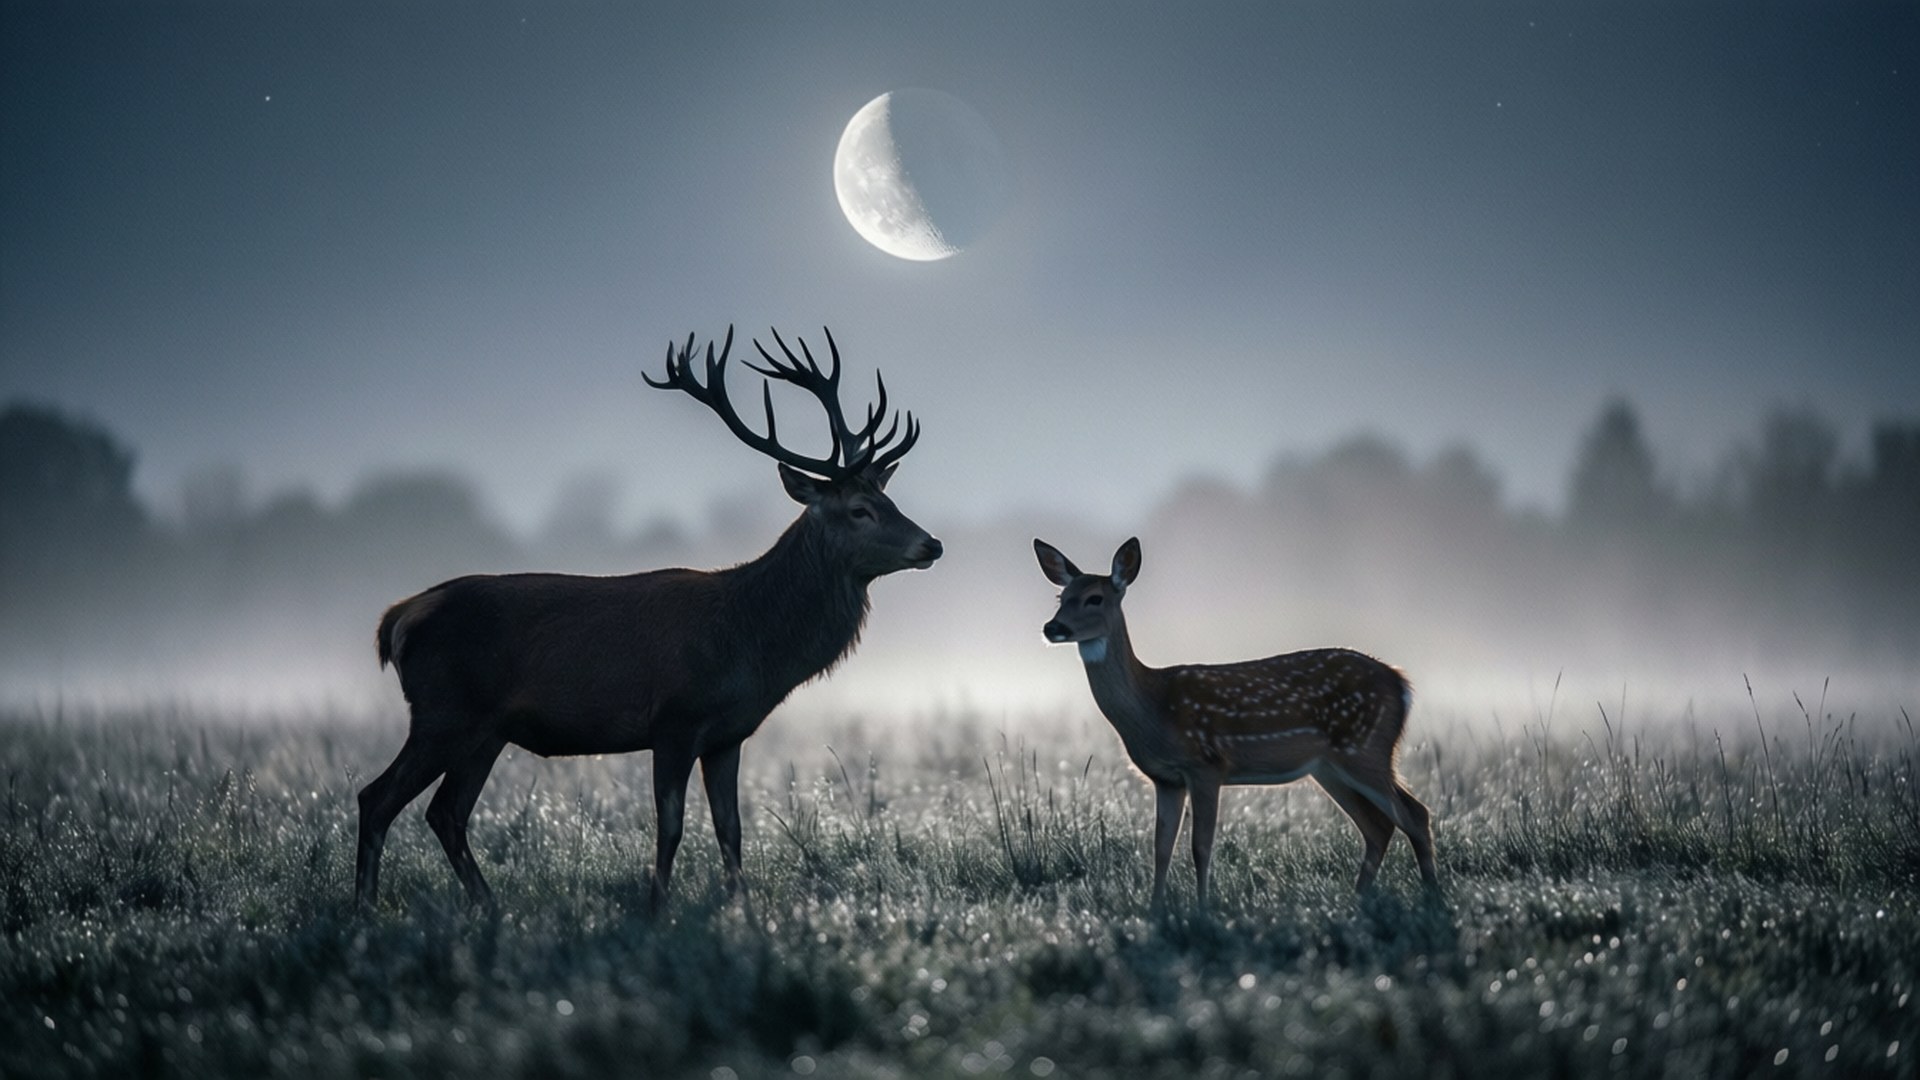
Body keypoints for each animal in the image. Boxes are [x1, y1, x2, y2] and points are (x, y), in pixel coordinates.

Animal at [355, 326, 941, 913]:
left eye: (888, 498)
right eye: (859, 510)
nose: (931, 543)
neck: (750, 643)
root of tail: (397, 619)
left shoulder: (728, 736)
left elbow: (731, 831)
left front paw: (743, 911)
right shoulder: (674, 720)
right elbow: (672, 826)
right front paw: (656, 908)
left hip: (485, 730)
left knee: (445, 812)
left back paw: (489, 907)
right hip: (444, 712)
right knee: (377, 797)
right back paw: (365, 908)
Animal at [1033, 537, 1437, 908]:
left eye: (1094, 598)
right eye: (1061, 597)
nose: (1052, 627)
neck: (1153, 705)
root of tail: (1401, 683)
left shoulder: (1206, 765)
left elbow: (1200, 846)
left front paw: (1202, 910)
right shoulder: (1166, 778)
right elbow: (1161, 848)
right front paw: (1156, 910)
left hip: (1365, 747)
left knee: (1415, 814)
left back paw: (1433, 899)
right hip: (1329, 767)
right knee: (1379, 825)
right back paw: (1359, 900)